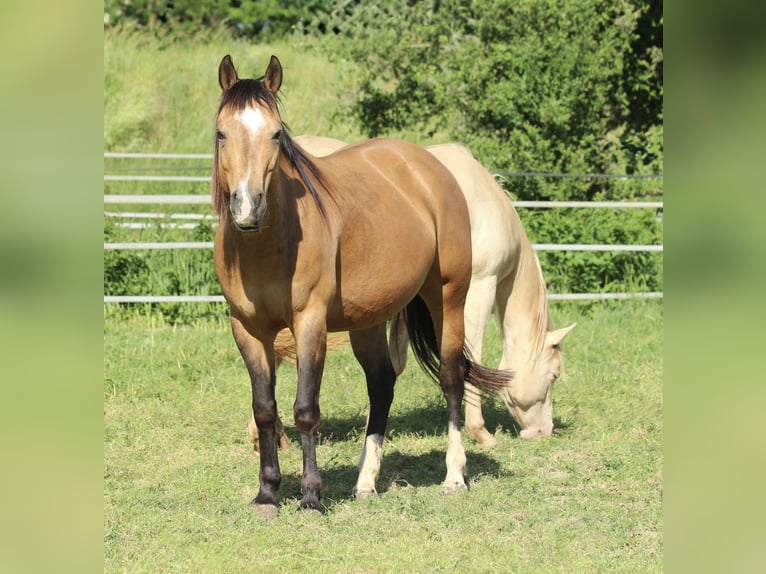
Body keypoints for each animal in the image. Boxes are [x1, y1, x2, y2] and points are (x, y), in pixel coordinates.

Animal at [212, 54, 511, 514]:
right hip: (369, 319)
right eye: (221, 133)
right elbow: (265, 410)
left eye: (276, 134)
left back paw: (454, 477)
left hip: (448, 298)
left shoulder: (309, 324)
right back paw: (366, 482)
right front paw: (267, 493)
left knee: (451, 377)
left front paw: (311, 497)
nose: (248, 208)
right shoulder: (247, 329)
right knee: (382, 384)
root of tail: (429, 167)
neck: (268, 243)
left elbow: (305, 409)